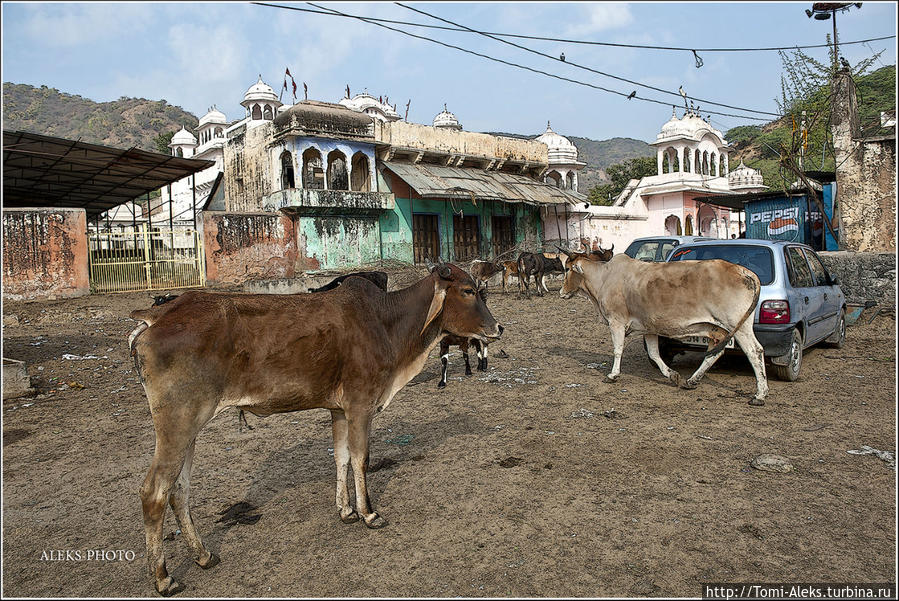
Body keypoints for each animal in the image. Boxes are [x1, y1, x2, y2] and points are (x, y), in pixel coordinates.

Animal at [129, 264, 502, 596]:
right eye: (468, 291)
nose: (498, 327)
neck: (386, 321)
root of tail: (156, 315)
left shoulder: (338, 409)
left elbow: (341, 457)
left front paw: (346, 510)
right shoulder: (361, 404)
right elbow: (361, 458)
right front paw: (368, 513)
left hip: (189, 428)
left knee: (179, 490)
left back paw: (203, 555)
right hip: (177, 423)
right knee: (154, 491)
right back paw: (163, 578)